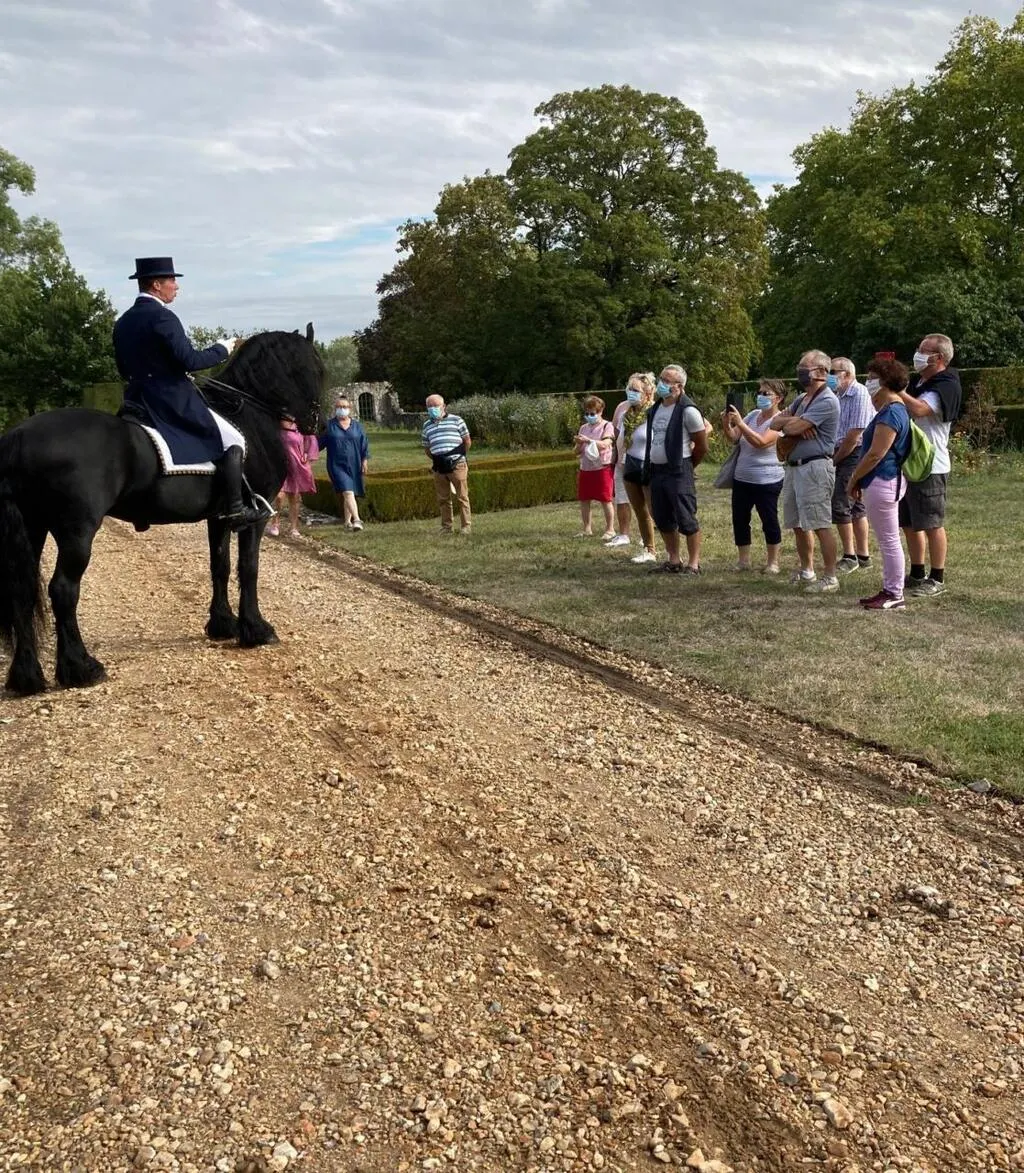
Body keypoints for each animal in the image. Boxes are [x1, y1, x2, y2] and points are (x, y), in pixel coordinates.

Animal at [0, 324, 325, 696]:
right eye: (315, 367)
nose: (316, 424)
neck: (249, 417)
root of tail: (20, 435)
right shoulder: (253, 519)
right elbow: (249, 568)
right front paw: (256, 629)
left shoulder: (219, 518)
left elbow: (221, 566)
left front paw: (222, 624)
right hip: (76, 531)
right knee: (63, 591)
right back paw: (82, 668)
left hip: (33, 526)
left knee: (23, 592)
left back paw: (27, 678)